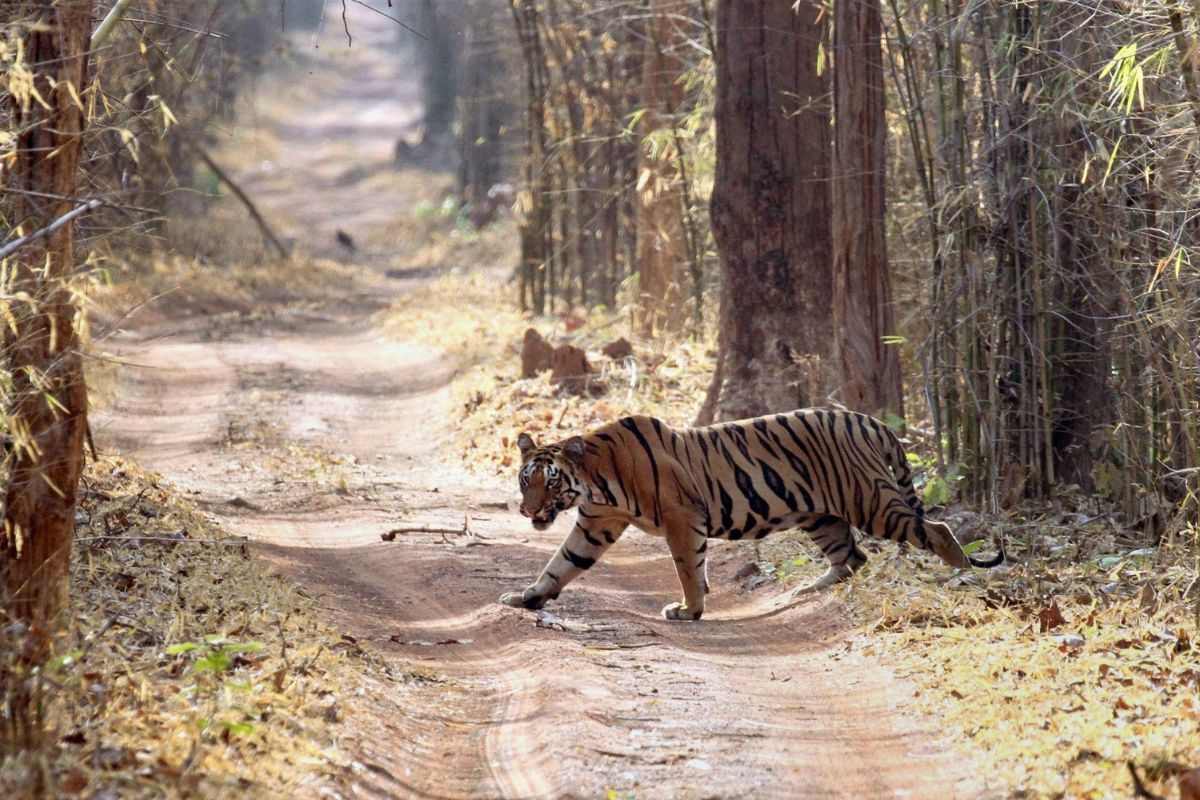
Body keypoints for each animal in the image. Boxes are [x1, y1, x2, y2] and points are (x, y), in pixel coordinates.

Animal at [496, 410, 1003, 623]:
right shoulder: (595, 523)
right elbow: (561, 565)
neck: (596, 479)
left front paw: (689, 610)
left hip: (871, 502)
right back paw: (807, 589)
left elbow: (687, 568)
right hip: (820, 515)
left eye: (551, 482)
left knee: (936, 530)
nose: (528, 510)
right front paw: (526, 598)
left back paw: (961, 577)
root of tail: (872, 421)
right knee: (852, 557)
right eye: (526, 479)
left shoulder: (682, 519)